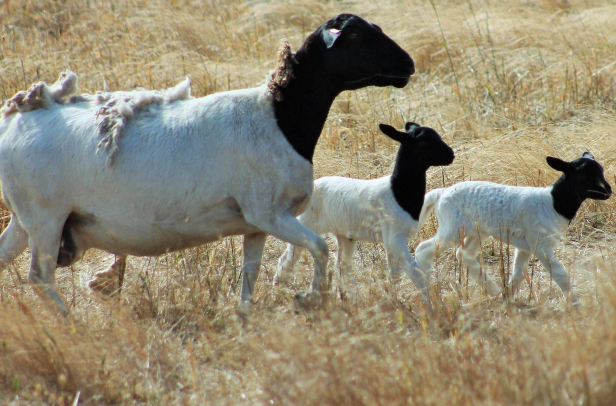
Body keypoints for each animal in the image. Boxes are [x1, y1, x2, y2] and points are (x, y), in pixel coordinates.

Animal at [0, 13, 416, 318]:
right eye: (356, 35)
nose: (408, 64)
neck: (281, 116)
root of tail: (14, 121)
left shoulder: (255, 225)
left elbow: (250, 278)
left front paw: (246, 319)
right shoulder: (269, 212)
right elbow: (320, 247)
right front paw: (311, 297)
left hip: (24, 218)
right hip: (46, 215)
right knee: (40, 278)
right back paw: (70, 322)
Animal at [274, 120, 452, 302]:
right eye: (424, 143)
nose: (451, 155)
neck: (398, 191)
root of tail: (313, 186)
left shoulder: (391, 240)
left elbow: (395, 275)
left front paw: (393, 297)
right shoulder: (395, 237)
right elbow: (415, 272)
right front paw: (428, 301)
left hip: (345, 236)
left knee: (342, 266)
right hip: (307, 222)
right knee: (288, 258)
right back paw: (279, 288)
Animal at [414, 152, 612, 304]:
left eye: (601, 171)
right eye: (584, 175)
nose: (608, 191)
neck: (553, 203)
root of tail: (440, 194)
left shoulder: (526, 247)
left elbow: (517, 274)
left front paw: (506, 297)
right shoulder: (541, 245)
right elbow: (560, 273)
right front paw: (576, 304)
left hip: (476, 231)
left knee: (463, 254)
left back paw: (492, 289)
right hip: (452, 228)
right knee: (423, 249)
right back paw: (428, 291)